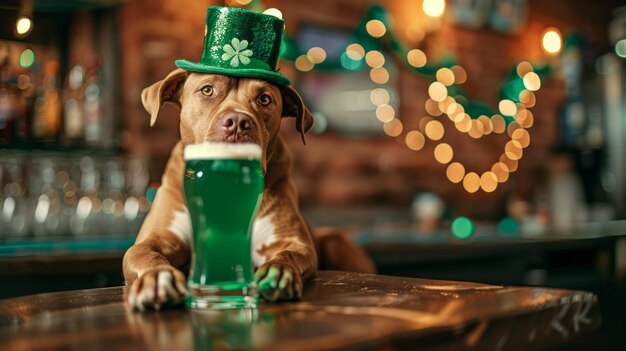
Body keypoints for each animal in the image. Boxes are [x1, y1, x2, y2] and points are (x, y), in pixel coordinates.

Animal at [124, 69, 372, 310]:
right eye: (207, 90)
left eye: (264, 99)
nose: (237, 120)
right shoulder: (154, 240)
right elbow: (146, 255)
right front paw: (158, 278)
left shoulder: (295, 243)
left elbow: (289, 254)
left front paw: (278, 271)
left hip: (335, 240)